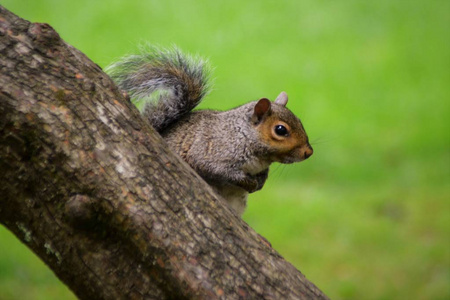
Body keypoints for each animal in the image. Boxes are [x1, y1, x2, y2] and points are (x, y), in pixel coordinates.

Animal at [107, 46, 314, 216]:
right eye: (280, 130)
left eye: (300, 121)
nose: (309, 152)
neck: (242, 135)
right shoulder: (213, 150)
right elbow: (217, 169)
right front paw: (248, 182)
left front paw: (261, 181)